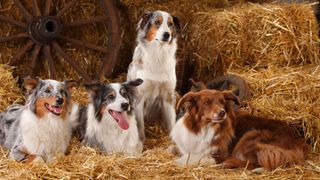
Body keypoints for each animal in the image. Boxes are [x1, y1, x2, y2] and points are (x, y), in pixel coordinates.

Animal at [127, 9, 181, 140]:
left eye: (170, 24)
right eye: (157, 22)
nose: (167, 35)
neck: (158, 53)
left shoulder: (168, 95)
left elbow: (171, 121)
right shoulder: (139, 96)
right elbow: (140, 125)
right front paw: (141, 141)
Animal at [170, 89, 308, 171]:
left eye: (222, 102)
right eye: (206, 102)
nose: (222, 112)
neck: (204, 129)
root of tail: (294, 138)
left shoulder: (221, 152)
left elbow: (194, 157)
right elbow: (175, 149)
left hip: (252, 137)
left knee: (254, 163)